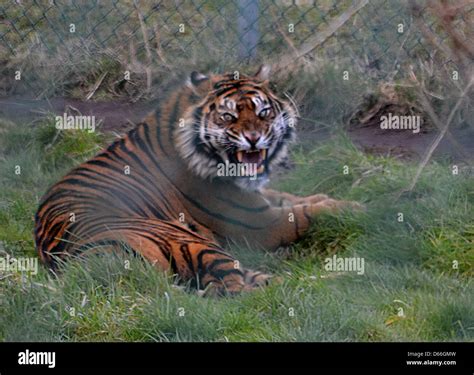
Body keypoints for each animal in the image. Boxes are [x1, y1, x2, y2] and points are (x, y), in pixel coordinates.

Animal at [35, 65, 362, 296]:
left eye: (264, 112)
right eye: (228, 117)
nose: (254, 138)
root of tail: (91, 261)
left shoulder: (259, 199)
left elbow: (297, 198)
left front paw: (335, 199)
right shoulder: (259, 222)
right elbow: (307, 213)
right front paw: (358, 209)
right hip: (193, 242)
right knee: (236, 291)